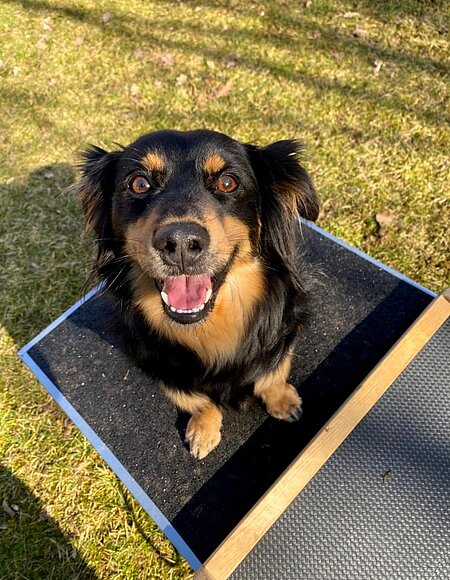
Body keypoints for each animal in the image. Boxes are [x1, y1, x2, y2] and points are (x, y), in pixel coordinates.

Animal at [77, 129, 318, 460]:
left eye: (227, 182)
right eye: (139, 183)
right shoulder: (159, 364)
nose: (179, 243)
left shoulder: (285, 328)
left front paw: (282, 400)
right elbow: (197, 399)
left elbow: (273, 372)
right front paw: (204, 430)